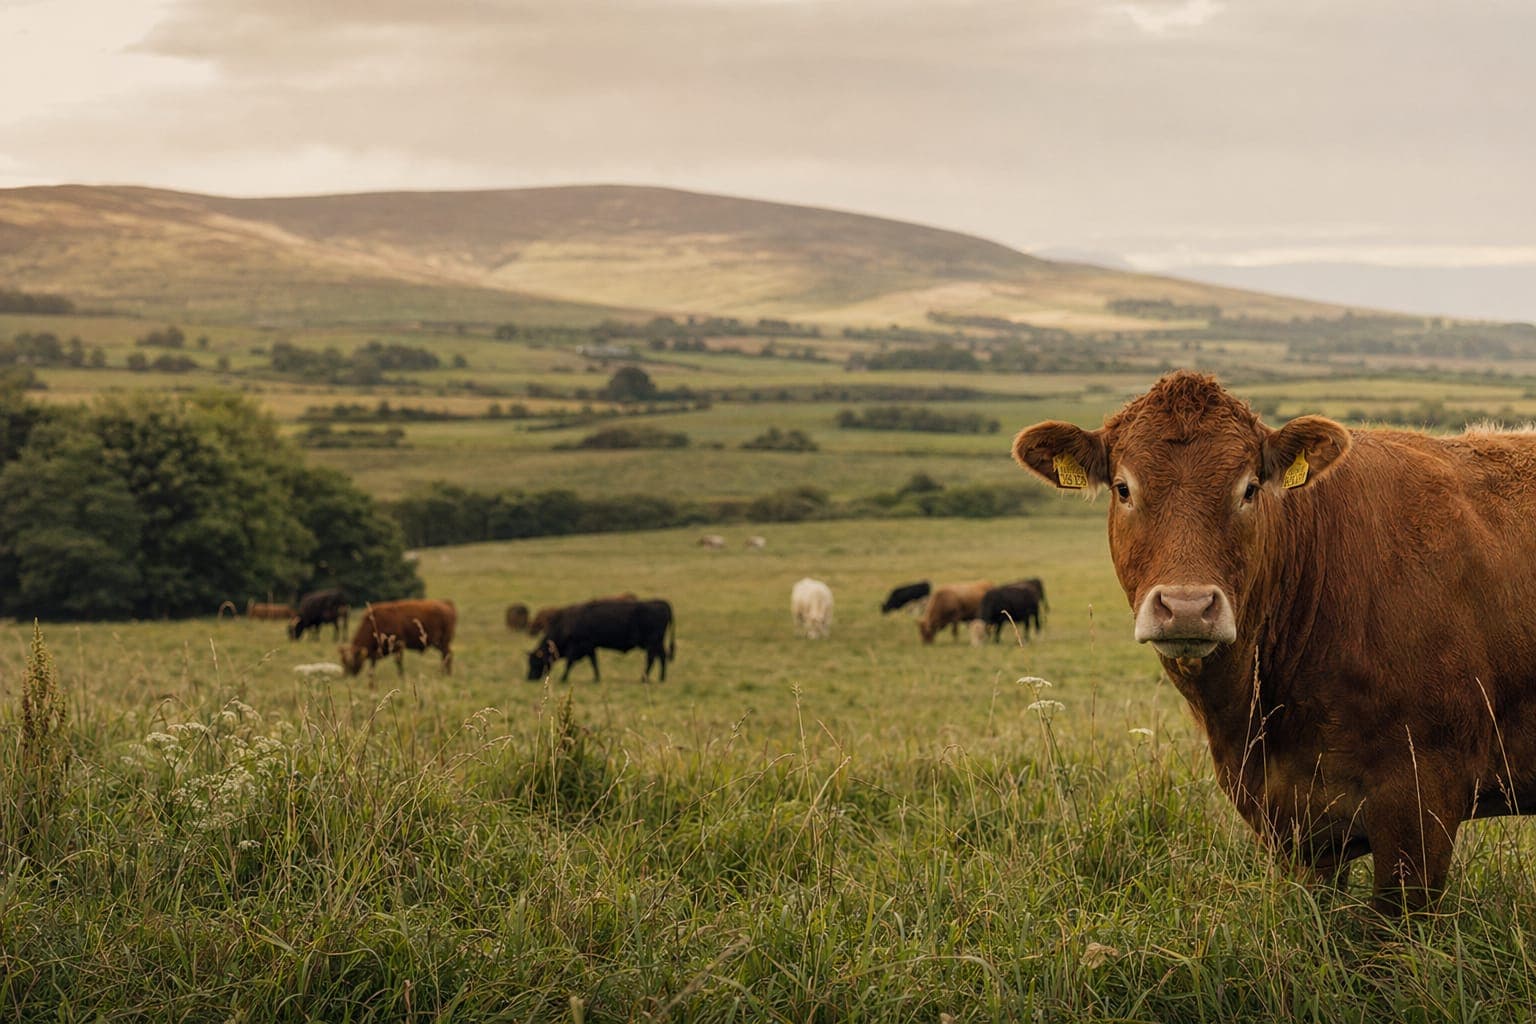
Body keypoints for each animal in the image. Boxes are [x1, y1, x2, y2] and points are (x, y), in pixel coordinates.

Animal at [527, 598, 675, 683]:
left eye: (534, 662)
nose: (529, 678)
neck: (566, 624)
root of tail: (662, 603)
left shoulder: (579, 647)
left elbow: (570, 663)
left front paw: (563, 678)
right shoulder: (590, 648)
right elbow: (594, 663)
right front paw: (597, 678)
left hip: (651, 643)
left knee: (651, 659)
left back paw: (644, 679)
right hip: (657, 642)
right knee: (662, 656)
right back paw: (661, 678)